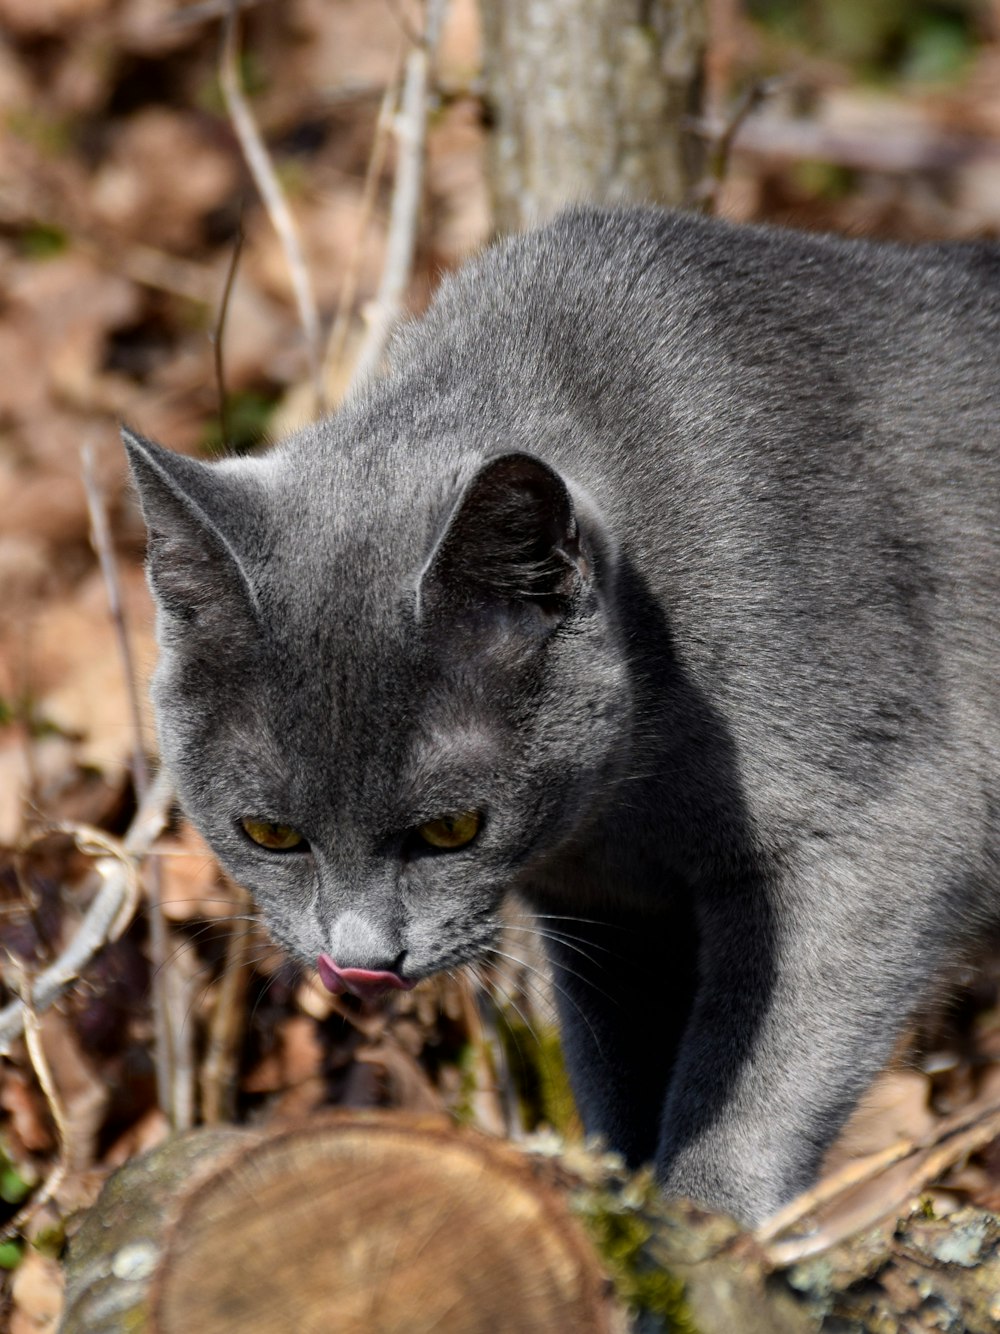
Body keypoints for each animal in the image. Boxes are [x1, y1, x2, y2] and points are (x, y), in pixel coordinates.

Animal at [127, 208, 1000, 1227]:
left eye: (452, 829)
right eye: (268, 834)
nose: (363, 961)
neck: (628, 796)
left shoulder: (880, 819)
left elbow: (760, 1071)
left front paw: (703, 1225)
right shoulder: (606, 906)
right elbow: (620, 1076)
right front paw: (622, 1209)